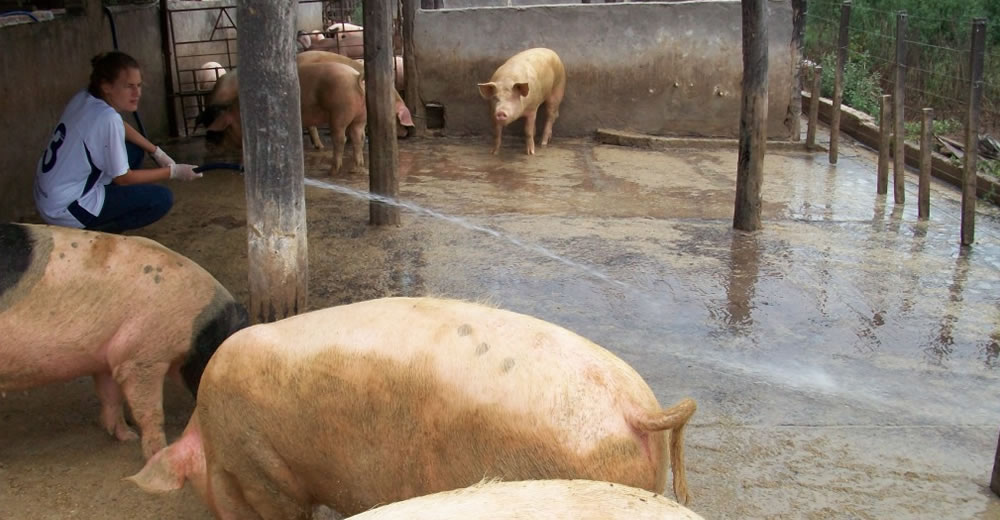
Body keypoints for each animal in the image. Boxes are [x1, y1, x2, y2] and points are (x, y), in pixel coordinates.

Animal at [0, 223, 248, 460]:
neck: (199, 330)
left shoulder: (108, 355)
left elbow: (110, 396)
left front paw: (127, 437)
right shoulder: (141, 356)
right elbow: (150, 411)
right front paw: (158, 451)